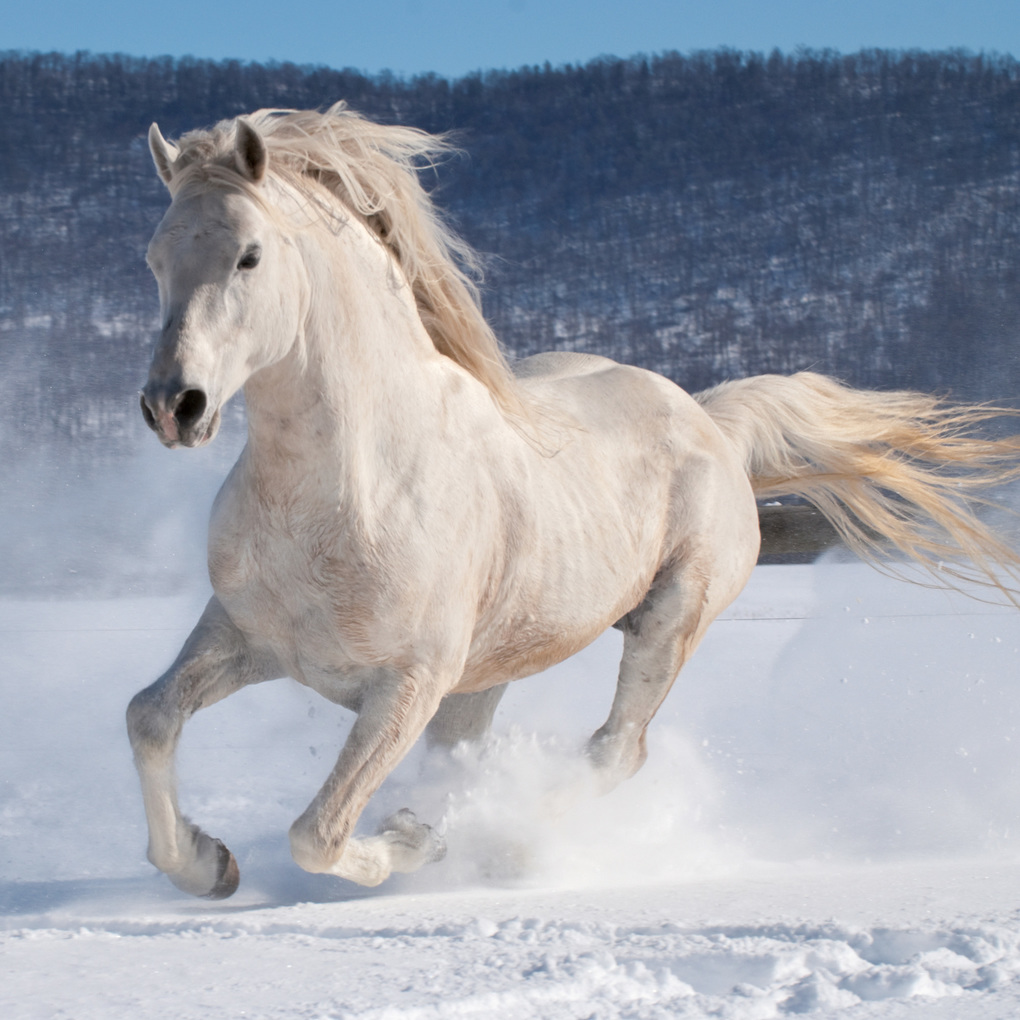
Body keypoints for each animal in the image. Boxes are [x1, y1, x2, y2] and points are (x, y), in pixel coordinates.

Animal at [128, 104, 1020, 899]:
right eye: (155, 259)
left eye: (249, 256)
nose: (174, 406)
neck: (350, 490)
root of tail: (710, 421)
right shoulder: (246, 638)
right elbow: (149, 717)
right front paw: (208, 866)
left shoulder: (408, 684)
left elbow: (319, 832)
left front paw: (411, 844)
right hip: (492, 667)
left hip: (669, 618)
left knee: (616, 750)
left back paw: (507, 843)